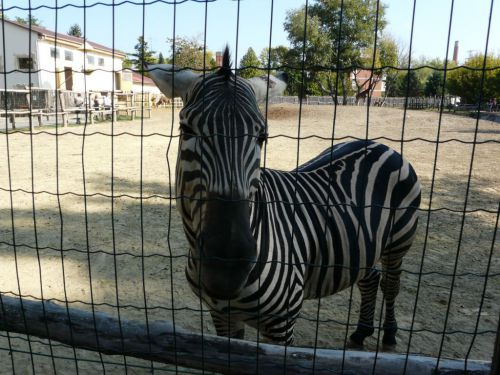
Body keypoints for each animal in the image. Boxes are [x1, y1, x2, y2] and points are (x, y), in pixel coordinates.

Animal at [146, 47, 420, 350]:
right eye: (186, 129)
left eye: (262, 136)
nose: (226, 269)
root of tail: (376, 143)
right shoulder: (222, 316)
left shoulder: (281, 323)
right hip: (364, 245)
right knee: (369, 279)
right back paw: (361, 332)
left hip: (398, 242)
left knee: (391, 283)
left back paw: (390, 334)